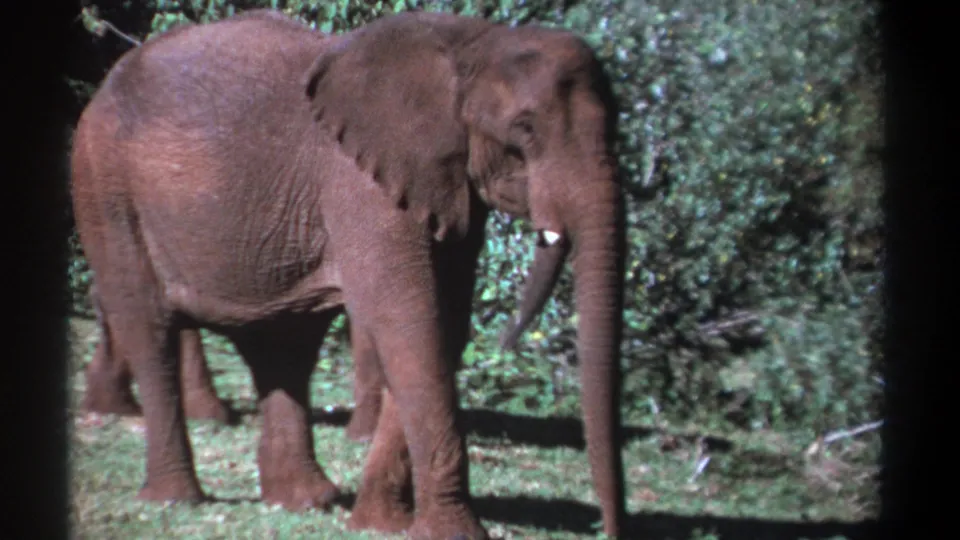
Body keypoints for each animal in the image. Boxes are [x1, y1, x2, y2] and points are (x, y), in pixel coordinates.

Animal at [70, 8, 626, 539]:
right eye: (524, 130)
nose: (609, 529)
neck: (472, 42)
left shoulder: (445, 186)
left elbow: (441, 328)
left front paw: (379, 524)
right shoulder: (361, 184)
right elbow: (409, 323)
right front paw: (451, 534)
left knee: (282, 347)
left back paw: (302, 501)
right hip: (104, 187)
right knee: (149, 326)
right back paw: (177, 499)